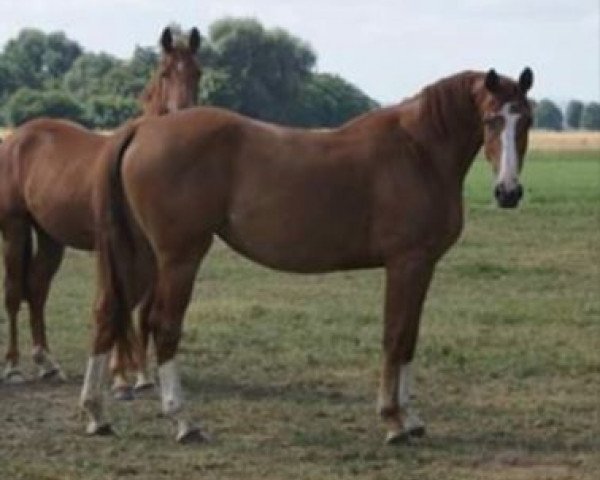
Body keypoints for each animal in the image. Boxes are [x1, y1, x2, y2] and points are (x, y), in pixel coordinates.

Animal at [0, 25, 202, 390]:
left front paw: (140, 373)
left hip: (51, 237)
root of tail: (16, 138)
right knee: (12, 292)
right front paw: (121, 375)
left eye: (198, 72)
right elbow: (121, 302)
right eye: (165, 72)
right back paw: (13, 367)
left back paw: (47, 362)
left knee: (36, 289)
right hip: (14, 227)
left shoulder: (154, 251)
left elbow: (143, 309)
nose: (184, 120)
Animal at [81, 66, 536, 442]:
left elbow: (410, 337)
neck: (417, 151)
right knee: (164, 325)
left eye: (527, 119)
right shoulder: (406, 264)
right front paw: (392, 419)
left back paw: (96, 414)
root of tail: (142, 131)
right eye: (491, 119)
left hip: (140, 255)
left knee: (106, 315)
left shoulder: (423, 267)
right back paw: (183, 420)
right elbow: (395, 336)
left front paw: (410, 417)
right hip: (179, 257)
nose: (508, 192)